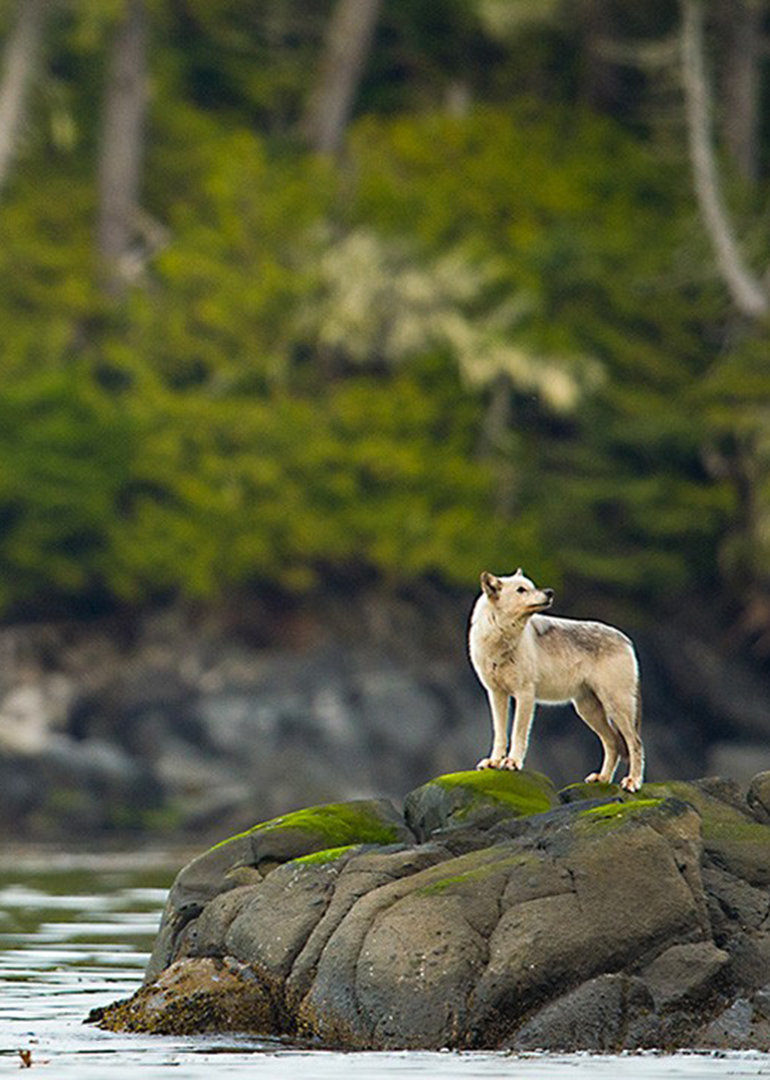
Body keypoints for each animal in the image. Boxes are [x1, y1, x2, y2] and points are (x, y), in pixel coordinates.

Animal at [468, 570, 643, 790]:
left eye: (532, 586)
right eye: (521, 590)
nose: (549, 592)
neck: (500, 641)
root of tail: (627, 640)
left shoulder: (525, 694)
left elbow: (518, 733)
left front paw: (513, 762)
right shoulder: (496, 694)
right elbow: (500, 733)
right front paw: (493, 762)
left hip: (616, 707)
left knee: (635, 743)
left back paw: (633, 782)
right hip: (588, 711)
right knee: (612, 743)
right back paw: (602, 778)